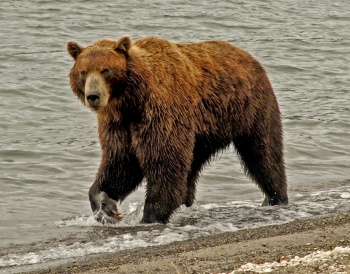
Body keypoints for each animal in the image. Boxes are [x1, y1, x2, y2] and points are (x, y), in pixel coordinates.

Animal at [67, 35, 288, 225]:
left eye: (106, 70)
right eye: (83, 71)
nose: (93, 96)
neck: (131, 101)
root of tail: (248, 56)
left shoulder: (160, 113)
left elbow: (164, 161)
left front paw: (151, 216)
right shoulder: (118, 125)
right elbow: (120, 163)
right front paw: (106, 207)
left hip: (250, 108)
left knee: (263, 152)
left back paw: (275, 197)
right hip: (204, 132)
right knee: (192, 164)